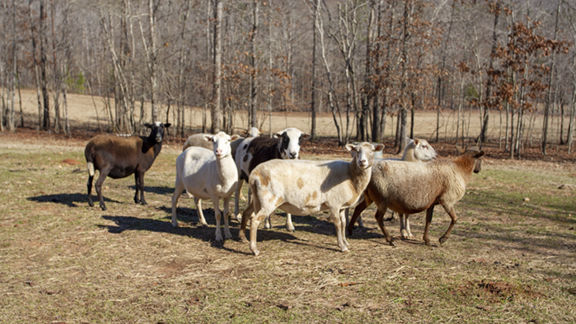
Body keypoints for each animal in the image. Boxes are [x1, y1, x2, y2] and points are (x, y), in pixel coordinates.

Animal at [237, 142, 382, 256]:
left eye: (372, 151)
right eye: (356, 151)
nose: (362, 162)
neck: (351, 175)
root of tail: (254, 173)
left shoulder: (341, 206)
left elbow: (343, 223)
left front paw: (346, 242)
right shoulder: (334, 204)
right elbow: (337, 224)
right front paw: (342, 247)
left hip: (257, 198)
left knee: (246, 213)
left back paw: (243, 238)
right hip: (269, 200)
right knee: (255, 221)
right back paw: (254, 249)